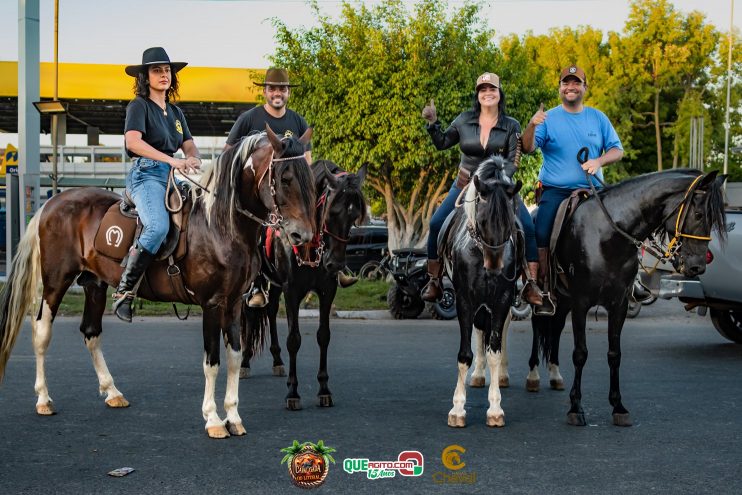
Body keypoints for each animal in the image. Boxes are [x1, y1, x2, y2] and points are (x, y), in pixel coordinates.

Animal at [0, 127, 316, 438]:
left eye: (309, 179)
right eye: (285, 178)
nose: (303, 236)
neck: (220, 225)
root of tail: (52, 203)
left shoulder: (235, 303)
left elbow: (234, 358)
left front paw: (234, 417)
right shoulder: (212, 304)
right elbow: (212, 362)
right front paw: (213, 419)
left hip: (94, 284)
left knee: (91, 332)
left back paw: (112, 391)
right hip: (56, 281)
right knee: (42, 331)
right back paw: (43, 398)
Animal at [241, 160, 370, 410]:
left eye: (354, 216)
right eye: (332, 212)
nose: (335, 263)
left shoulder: (327, 291)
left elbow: (323, 336)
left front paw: (324, 389)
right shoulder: (292, 291)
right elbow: (294, 339)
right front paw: (293, 392)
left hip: (276, 283)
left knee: (271, 310)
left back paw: (277, 360)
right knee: (251, 313)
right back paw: (244, 362)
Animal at [442, 157, 524, 428]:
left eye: (510, 221)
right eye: (483, 220)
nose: (495, 267)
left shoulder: (502, 300)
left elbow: (495, 351)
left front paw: (495, 408)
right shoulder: (464, 301)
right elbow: (465, 354)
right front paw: (458, 409)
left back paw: (499, 375)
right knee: (480, 330)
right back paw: (478, 374)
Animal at [532, 170, 728, 426]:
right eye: (698, 214)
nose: (698, 267)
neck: (608, 236)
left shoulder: (620, 304)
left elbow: (615, 354)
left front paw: (618, 406)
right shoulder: (581, 303)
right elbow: (580, 353)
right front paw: (576, 407)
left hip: (563, 300)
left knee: (554, 329)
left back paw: (555, 375)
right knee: (536, 328)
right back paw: (531, 376)